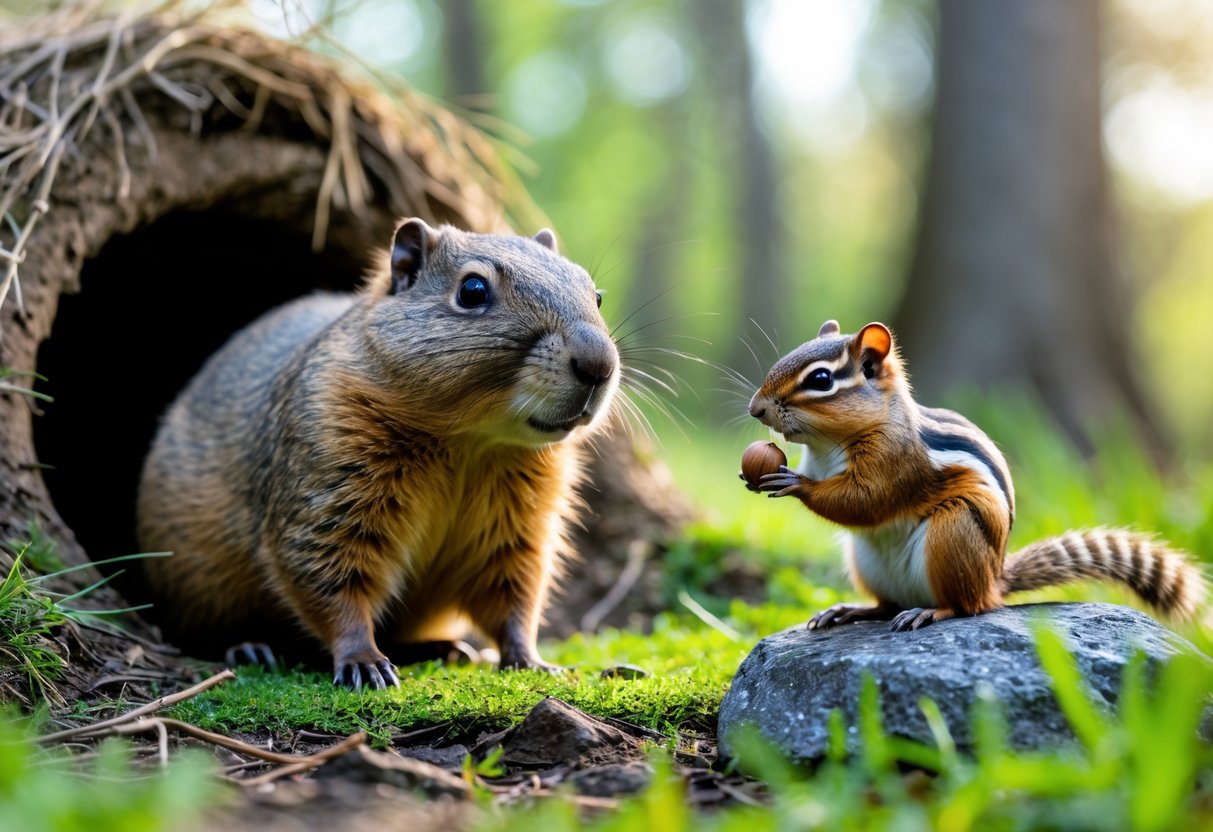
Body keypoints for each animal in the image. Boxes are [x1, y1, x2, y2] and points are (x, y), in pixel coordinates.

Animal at [136, 219, 619, 688]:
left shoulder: (517, 533)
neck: (470, 443)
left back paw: (444, 648)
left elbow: (514, 602)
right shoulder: (328, 495)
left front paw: (531, 660)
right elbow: (333, 590)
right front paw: (363, 661)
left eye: (595, 295)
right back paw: (250, 648)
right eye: (472, 291)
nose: (599, 364)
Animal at [745, 319, 1206, 631]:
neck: (826, 446)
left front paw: (797, 485)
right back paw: (848, 610)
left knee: (967, 607)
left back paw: (931, 610)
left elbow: (866, 500)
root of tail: (994, 580)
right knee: (886, 605)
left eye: (821, 379)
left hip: (954, 530)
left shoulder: (896, 462)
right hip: (865, 560)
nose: (756, 409)